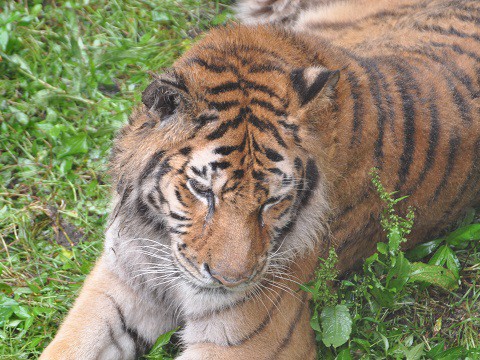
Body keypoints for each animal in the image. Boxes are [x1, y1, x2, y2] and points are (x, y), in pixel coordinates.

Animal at [41, 0, 480, 358]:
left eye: (272, 201)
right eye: (201, 191)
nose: (230, 280)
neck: (158, 235)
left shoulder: (250, 340)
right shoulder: (122, 279)